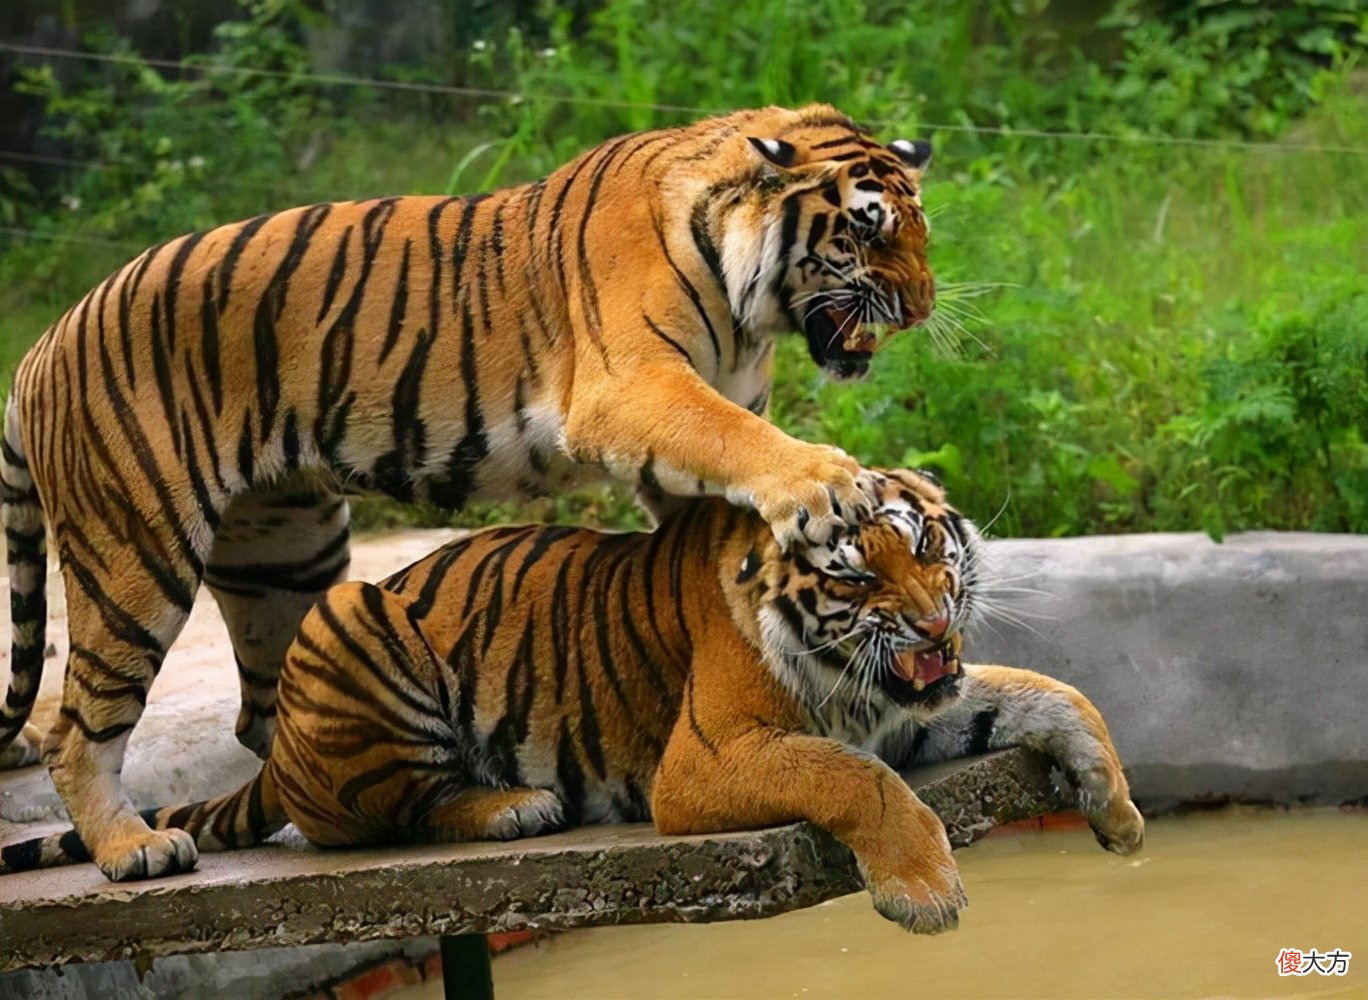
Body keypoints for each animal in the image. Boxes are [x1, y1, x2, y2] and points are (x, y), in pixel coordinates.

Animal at [0, 104, 941, 881]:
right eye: (867, 232)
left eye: (921, 235)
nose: (925, 309)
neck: (749, 305)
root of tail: (42, 342)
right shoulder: (631, 386)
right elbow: (735, 438)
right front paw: (826, 480)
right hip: (135, 552)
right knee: (78, 729)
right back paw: (132, 847)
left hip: (286, 556)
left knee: (274, 723)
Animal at [0, 469, 1145, 933]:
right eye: (856, 577)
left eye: (923, 547)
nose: (930, 621)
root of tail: (278, 758)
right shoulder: (711, 757)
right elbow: (851, 777)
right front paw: (923, 893)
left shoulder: (916, 707)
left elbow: (1055, 694)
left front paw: (1120, 813)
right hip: (350, 616)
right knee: (374, 817)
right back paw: (513, 805)